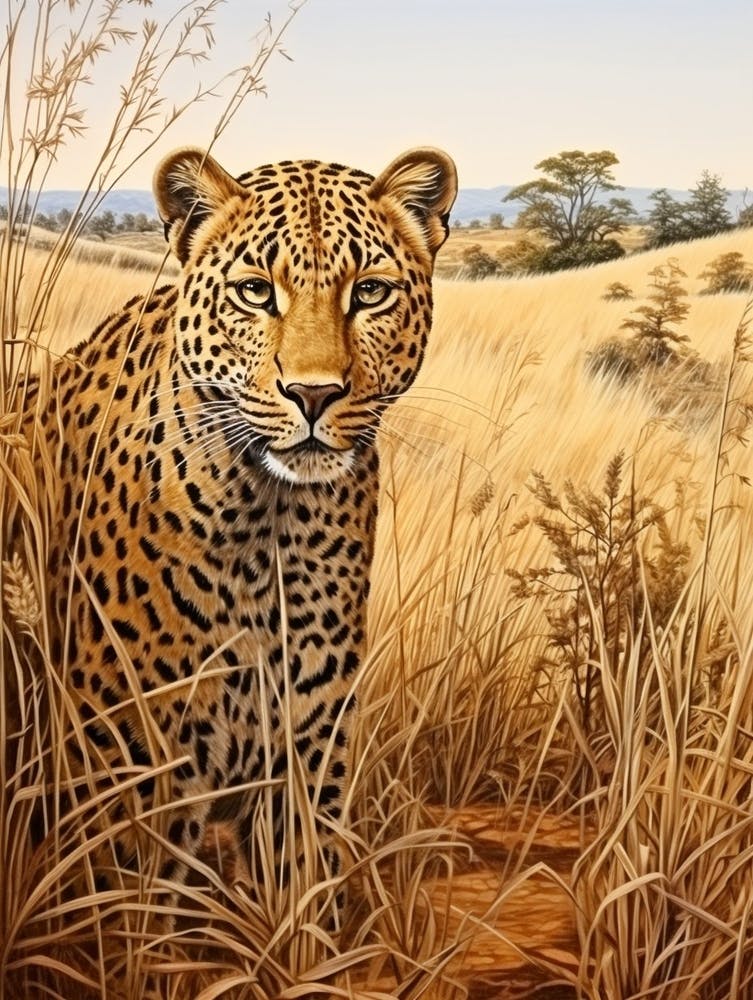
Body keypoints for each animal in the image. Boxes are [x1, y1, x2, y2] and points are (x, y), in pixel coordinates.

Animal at [19, 145, 457, 900]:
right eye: (255, 292)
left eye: (370, 293)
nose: (314, 394)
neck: (270, 522)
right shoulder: (132, 775)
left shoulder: (307, 764)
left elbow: (300, 913)